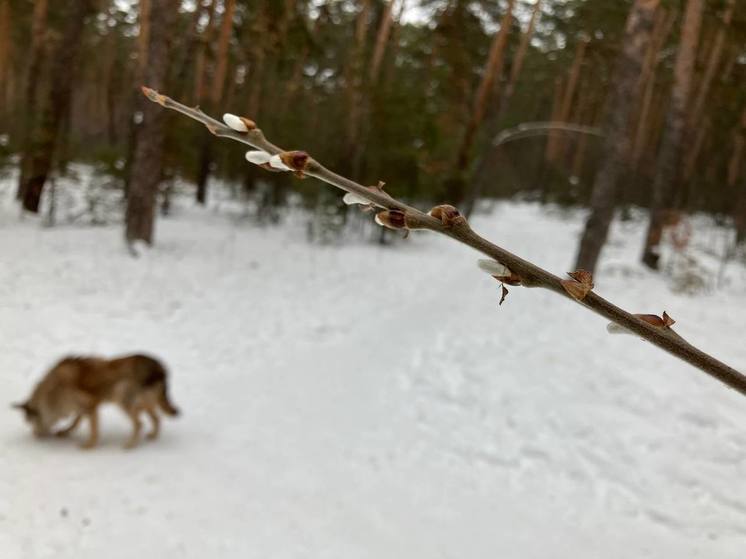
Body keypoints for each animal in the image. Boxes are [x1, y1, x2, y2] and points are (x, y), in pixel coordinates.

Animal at [13, 354, 179, 450]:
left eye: (30, 421)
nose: (35, 436)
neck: (53, 392)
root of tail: (160, 367)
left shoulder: (91, 404)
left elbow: (93, 429)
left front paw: (89, 446)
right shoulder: (82, 407)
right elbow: (76, 421)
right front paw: (65, 432)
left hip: (121, 397)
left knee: (139, 424)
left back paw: (130, 445)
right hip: (143, 403)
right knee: (156, 418)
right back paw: (153, 436)